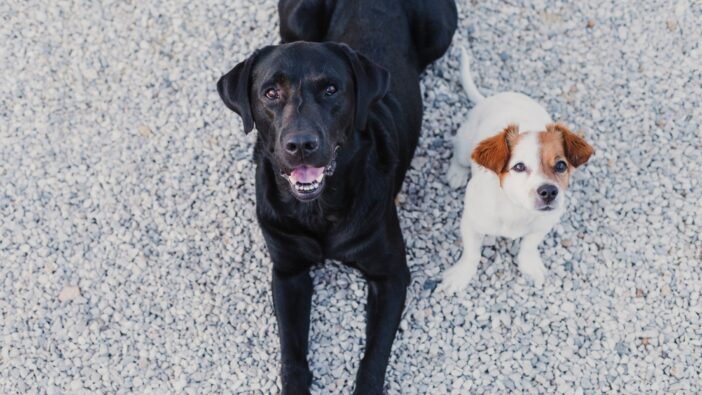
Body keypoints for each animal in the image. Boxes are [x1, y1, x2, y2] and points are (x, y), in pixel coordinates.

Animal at [219, 0, 456, 392]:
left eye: (331, 90)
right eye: (270, 93)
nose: (301, 144)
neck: (318, 210)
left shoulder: (391, 275)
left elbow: (373, 357)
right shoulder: (287, 272)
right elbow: (292, 354)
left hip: (440, 31)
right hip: (296, 20)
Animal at [440, 47, 592, 294]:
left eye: (561, 165)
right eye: (519, 166)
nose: (549, 192)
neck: (515, 209)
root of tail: (491, 99)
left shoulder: (545, 222)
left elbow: (529, 245)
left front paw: (529, 265)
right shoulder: (471, 223)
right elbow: (471, 254)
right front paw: (461, 275)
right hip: (464, 146)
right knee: (458, 155)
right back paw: (457, 173)